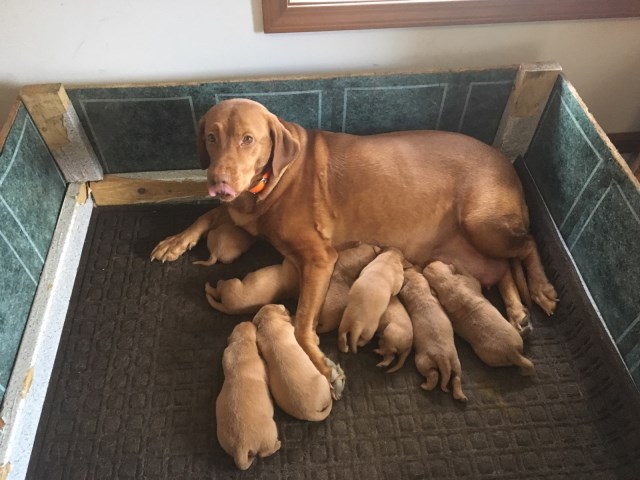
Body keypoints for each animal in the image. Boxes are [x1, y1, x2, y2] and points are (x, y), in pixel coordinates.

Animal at [215, 320, 280, 470]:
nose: (248, 320)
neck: (241, 343)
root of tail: (241, 447)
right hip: (271, 430)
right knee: (263, 453)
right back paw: (277, 445)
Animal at [398, 268, 468, 400]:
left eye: (405, 275)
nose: (406, 269)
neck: (420, 293)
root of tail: (443, 358)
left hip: (422, 361)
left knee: (433, 374)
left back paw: (425, 386)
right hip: (456, 362)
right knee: (456, 378)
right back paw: (460, 396)